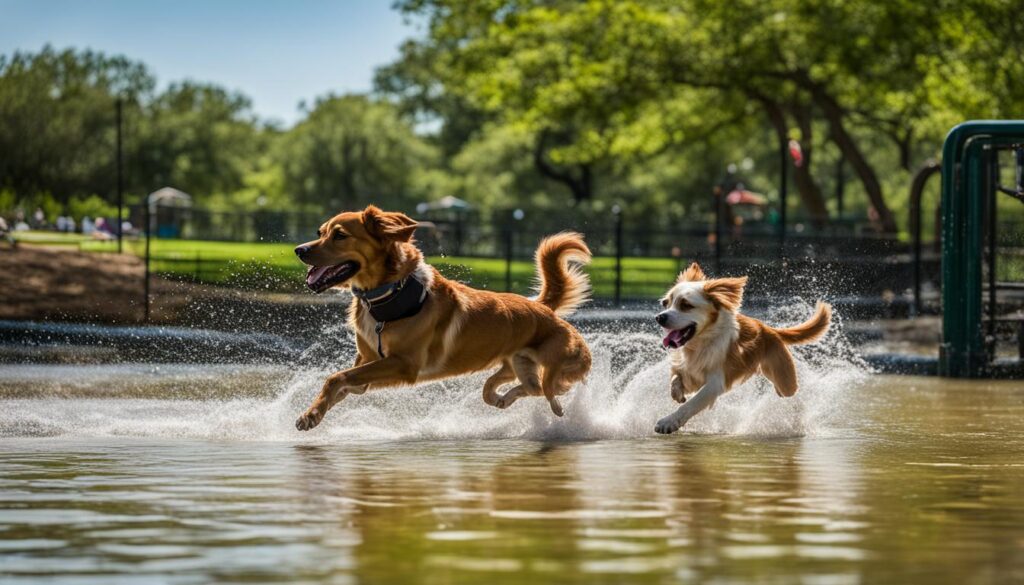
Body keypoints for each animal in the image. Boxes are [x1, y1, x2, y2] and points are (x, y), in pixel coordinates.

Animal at [292, 205, 593, 430]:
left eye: (339, 235)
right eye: (320, 232)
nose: (299, 249)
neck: (390, 293)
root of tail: (543, 309)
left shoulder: (404, 364)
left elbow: (337, 377)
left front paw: (312, 414)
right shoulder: (368, 361)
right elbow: (346, 381)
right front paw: (312, 412)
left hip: (557, 368)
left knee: (552, 391)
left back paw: (555, 409)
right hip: (516, 363)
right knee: (523, 387)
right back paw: (502, 399)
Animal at [655, 264, 831, 434]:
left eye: (686, 305)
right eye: (666, 303)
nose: (659, 317)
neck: (700, 343)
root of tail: (770, 330)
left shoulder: (715, 383)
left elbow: (691, 404)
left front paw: (668, 422)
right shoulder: (687, 371)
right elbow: (675, 380)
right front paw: (677, 394)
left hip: (785, 382)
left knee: (791, 393)